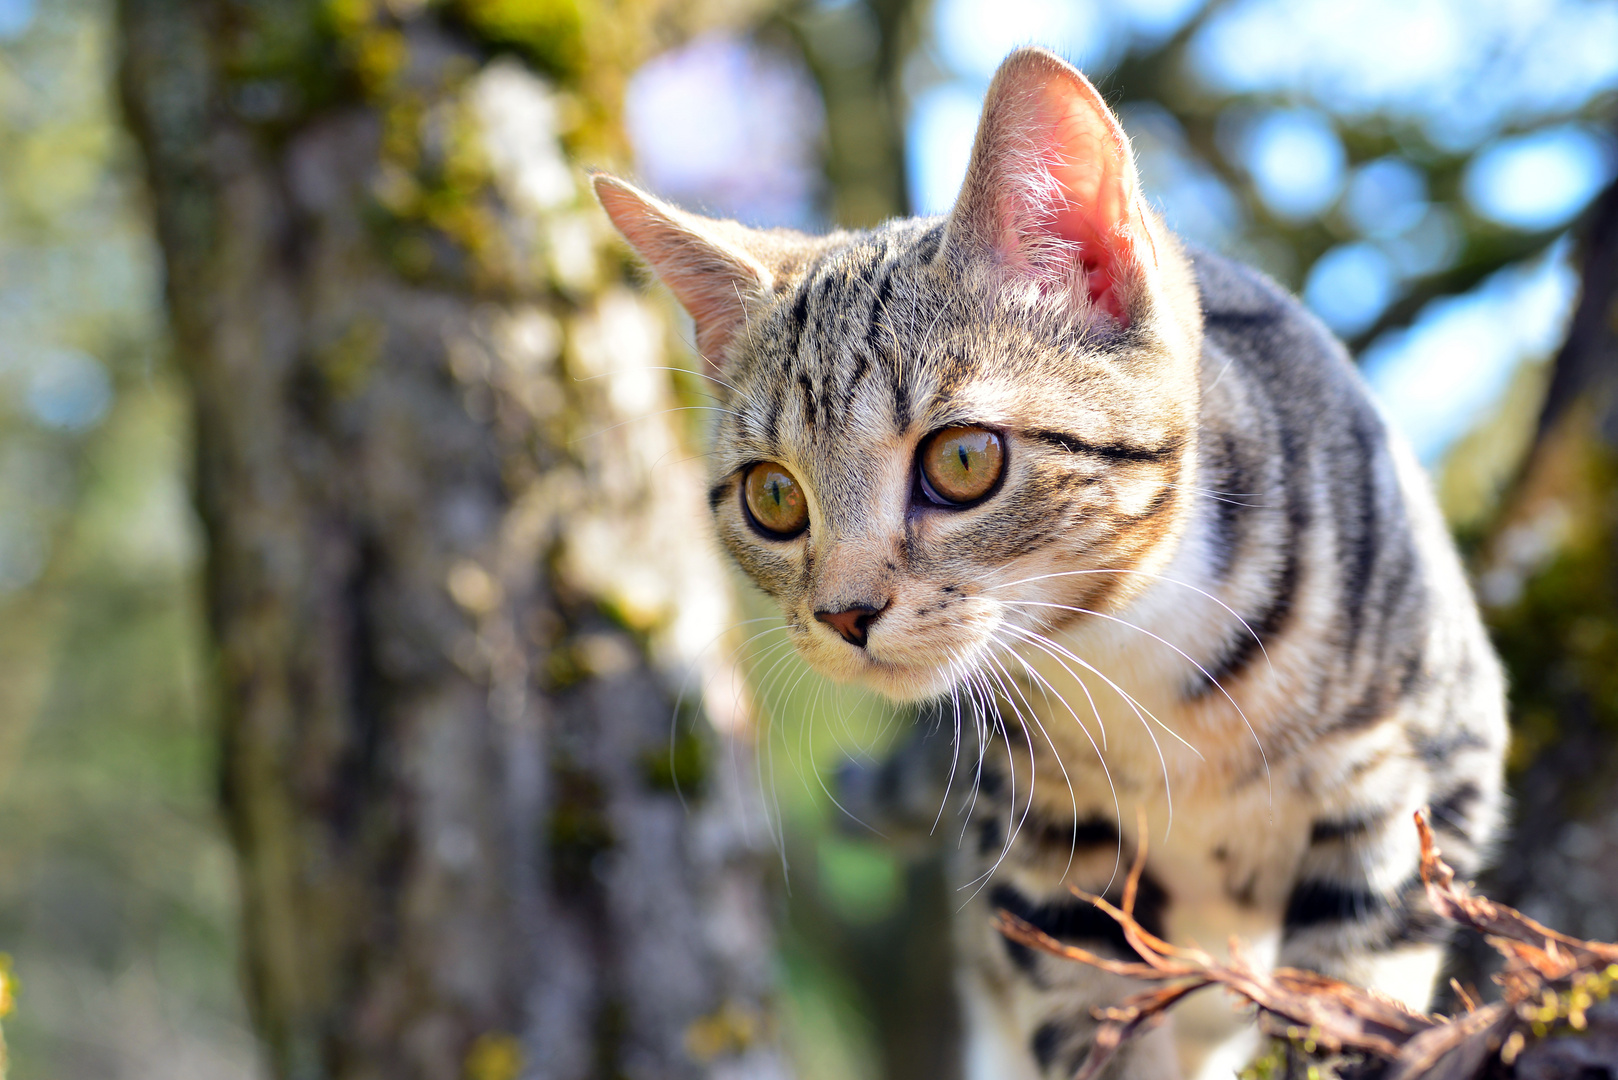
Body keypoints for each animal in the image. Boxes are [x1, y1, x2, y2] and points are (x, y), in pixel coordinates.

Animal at [592, 44, 1501, 1080]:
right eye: (773, 498)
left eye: (963, 460)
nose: (844, 613)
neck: (1133, 657)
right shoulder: (1043, 855)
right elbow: (1091, 1022)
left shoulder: (1422, 774)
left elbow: (1348, 992)